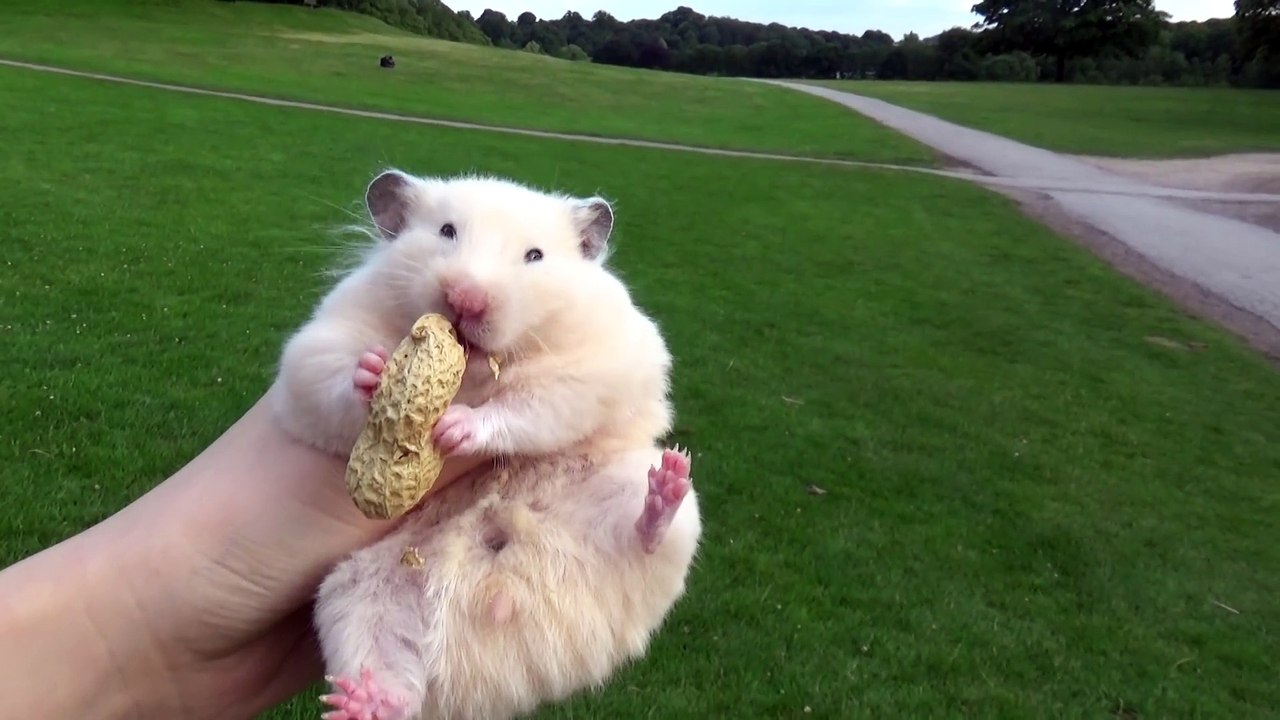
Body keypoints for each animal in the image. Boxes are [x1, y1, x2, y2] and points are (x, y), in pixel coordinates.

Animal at [269, 169, 703, 720]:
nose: (466, 299)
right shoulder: (312, 355)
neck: (474, 372)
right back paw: (361, 700)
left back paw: (665, 486)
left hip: (645, 505)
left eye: (535, 255)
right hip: (351, 600)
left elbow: (525, 406)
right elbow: (333, 378)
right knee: (392, 679)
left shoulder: (590, 373)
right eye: (446, 231)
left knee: (646, 535)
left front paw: (457, 427)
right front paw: (373, 372)